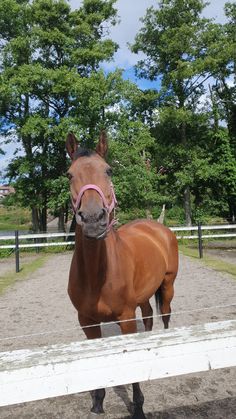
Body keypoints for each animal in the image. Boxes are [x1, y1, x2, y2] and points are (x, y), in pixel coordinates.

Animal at [65, 131, 178, 419]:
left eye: (109, 170)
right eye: (69, 174)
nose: (93, 219)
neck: (97, 276)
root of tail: (157, 227)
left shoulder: (126, 319)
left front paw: (138, 406)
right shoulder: (87, 322)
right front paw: (98, 400)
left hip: (168, 286)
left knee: (165, 315)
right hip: (144, 296)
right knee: (148, 317)